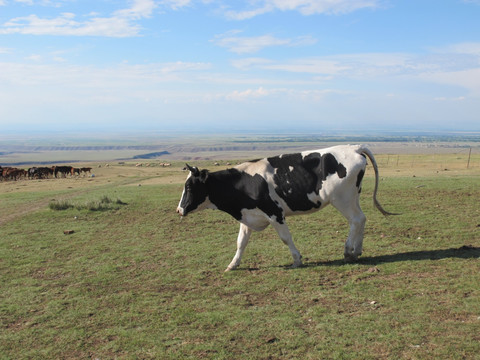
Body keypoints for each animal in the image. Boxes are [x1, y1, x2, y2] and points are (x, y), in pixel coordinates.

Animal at [176, 145, 394, 272]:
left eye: (189, 187)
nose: (179, 210)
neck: (242, 183)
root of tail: (354, 147)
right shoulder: (248, 215)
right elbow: (241, 242)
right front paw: (233, 264)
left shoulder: (275, 213)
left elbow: (285, 238)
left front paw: (297, 260)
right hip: (352, 197)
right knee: (362, 218)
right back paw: (357, 250)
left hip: (342, 198)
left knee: (355, 220)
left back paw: (349, 251)